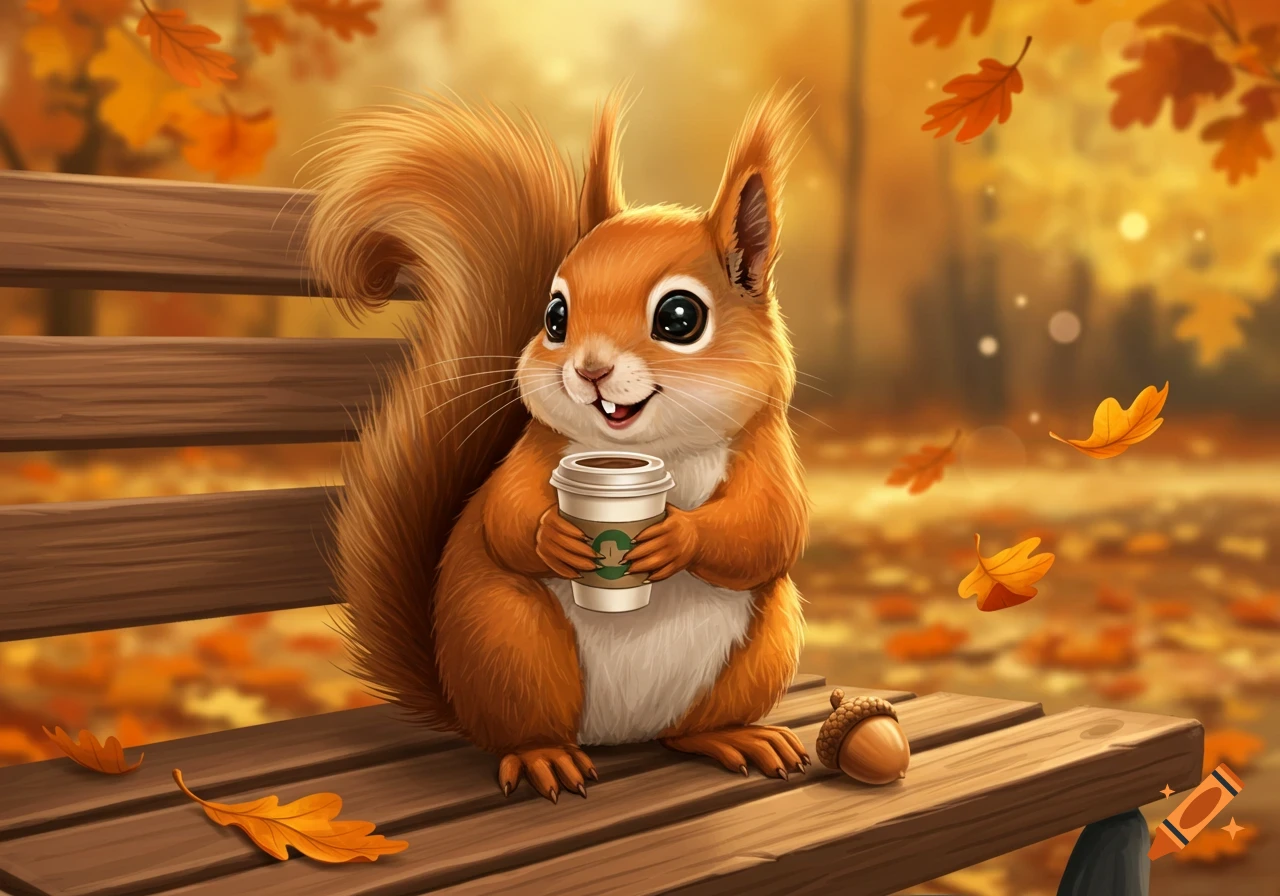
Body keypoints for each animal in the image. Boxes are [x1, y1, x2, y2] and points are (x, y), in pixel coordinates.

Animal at [304, 88, 810, 803]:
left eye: (680, 317)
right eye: (554, 316)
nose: (590, 370)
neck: (660, 451)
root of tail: (621, 734)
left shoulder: (766, 454)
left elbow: (768, 530)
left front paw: (675, 537)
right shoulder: (536, 453)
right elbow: (505, 515)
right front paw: (555, 536)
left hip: (759, 651)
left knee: (690, 730)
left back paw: (733, 735)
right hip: (512, 645)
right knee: (525, 729)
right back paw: (544, 755)